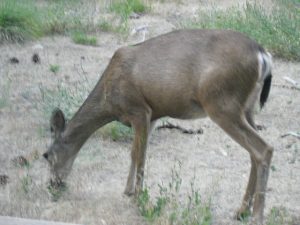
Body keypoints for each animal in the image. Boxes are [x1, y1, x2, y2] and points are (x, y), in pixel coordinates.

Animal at [43, 29, 274, 223]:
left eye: (46, 156)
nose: (52, 185)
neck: (108, 100)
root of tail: (263, 55)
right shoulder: (152, 116)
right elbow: (134, 152)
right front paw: (128, 190)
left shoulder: (139, 110)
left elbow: (140, 155)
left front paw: (138, 198)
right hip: (246, 108)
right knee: (254, 153)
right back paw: (241, 211)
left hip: (221, 103)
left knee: (264, 148)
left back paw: (256, 216)